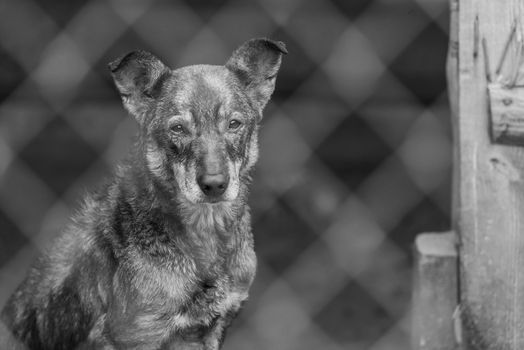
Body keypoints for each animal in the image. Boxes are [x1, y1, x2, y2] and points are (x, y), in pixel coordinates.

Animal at [0, 37, 286, 348]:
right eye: (178, 128)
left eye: (234, 124)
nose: (214, 185)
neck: (205, 239)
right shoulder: (135, 335)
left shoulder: (214, 327)